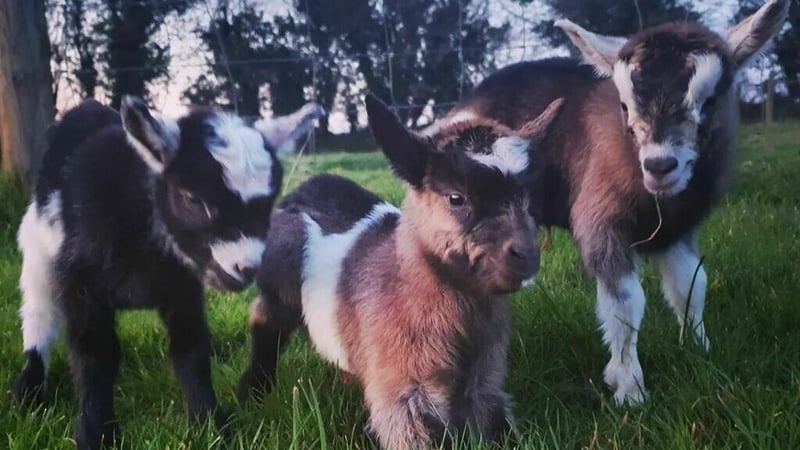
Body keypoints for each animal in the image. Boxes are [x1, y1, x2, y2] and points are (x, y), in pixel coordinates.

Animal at [11, 97, 323, 450]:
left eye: (269, 202)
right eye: (192, 199)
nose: (246, 268)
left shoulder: (182, 287)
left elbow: (191, 350)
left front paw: (210, 425)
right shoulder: (81, 288)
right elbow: (95, 357)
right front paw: (96, 433)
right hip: (37, 255)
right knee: (38, 315)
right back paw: (29, 389)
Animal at [236, 95, 563, 449]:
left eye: (525, 197)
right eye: (456, 197)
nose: (526, 255)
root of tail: (303, 189)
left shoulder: (486, 378)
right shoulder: (403, 395)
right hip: (277, 290)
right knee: (265, 323)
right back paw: (253, 390)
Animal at [431, 0, 789, 405]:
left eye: (711, 100)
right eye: (624, 105)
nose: (659, 165)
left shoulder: (678, 230)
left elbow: (691, 287)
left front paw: (700, 349)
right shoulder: (601, 220)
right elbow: (625, 303)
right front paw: (629, 389)